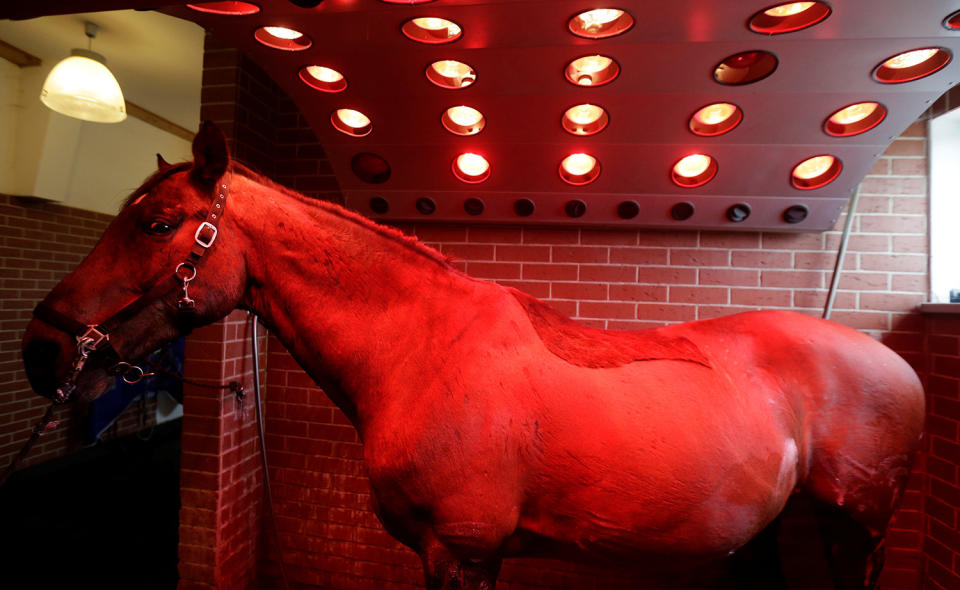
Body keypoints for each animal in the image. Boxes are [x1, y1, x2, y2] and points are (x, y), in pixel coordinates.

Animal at [22, 122, 924, 588]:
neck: (421, 351)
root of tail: (899, 368)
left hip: (860, 527)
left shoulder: (459, 551)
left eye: (156, 223)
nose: (42, 348)